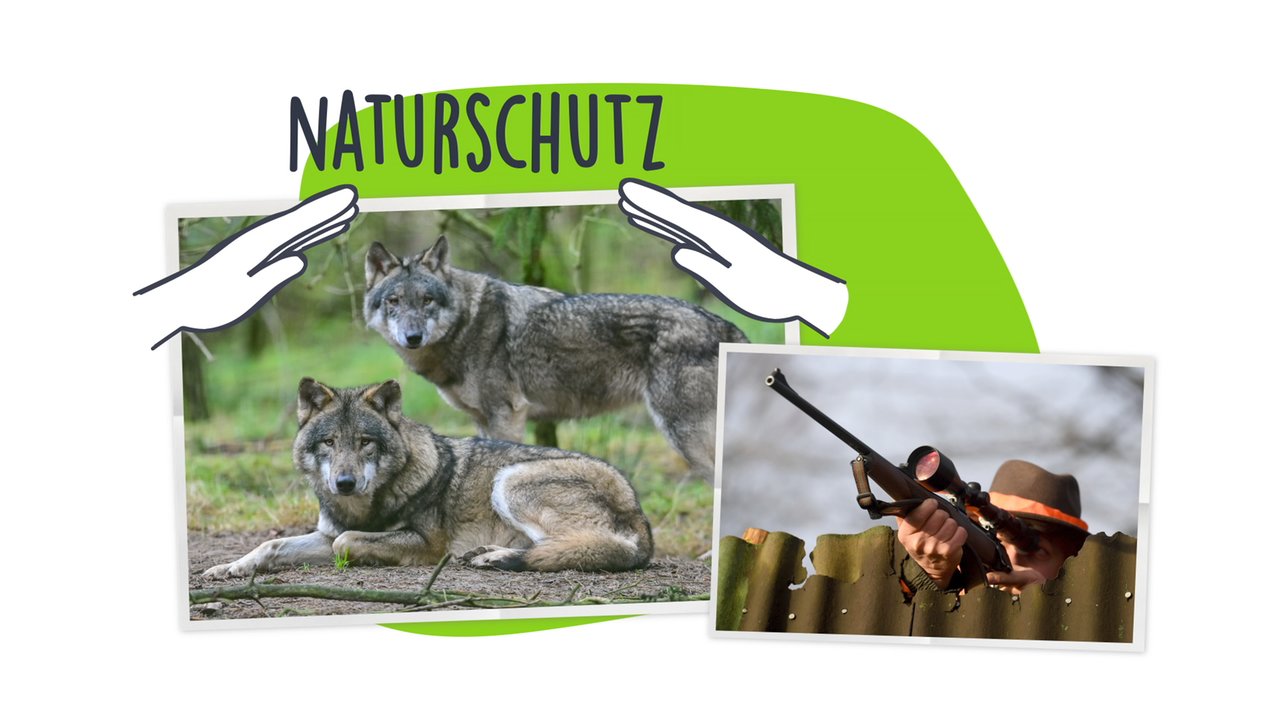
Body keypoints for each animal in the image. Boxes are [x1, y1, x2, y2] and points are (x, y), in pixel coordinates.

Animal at [202, 378, 653, 578]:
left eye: (365, 442)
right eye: (329, 442)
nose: (344, 483)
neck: (365, 506)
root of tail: (640, 516)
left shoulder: (425, 543)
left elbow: (347, 543)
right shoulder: (327, 532)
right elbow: (272, 544)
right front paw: (228, 568)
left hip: (510, 481)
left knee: (575, 548)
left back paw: (495, 558)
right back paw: (488, 553)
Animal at [363, 236, 748, 482]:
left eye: (427, 300)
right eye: (394, 302)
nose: (413, 337)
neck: (466, 325)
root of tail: (726, 326)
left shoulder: (508, 415)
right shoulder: (483, 421)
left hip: (683, 435)